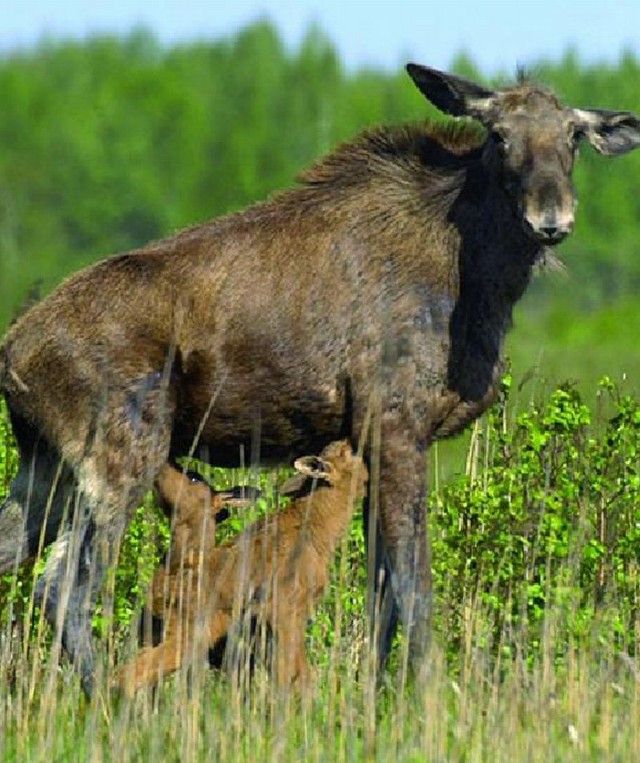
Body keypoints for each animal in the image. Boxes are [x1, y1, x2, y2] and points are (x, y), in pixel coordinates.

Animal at [117, 438, 368, 696]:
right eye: (346, 453)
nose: (348, 440)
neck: (323, 532)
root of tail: (153, 591)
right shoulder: (282, 608)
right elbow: (295, 676)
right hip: (192, 632)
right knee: (128, 675)